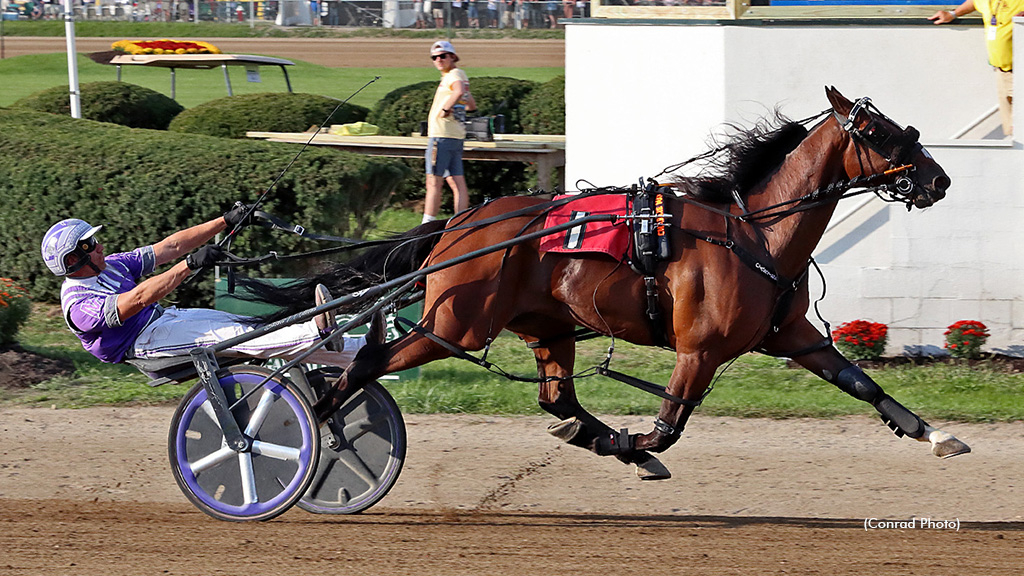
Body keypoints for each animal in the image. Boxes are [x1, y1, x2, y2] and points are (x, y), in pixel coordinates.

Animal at [239, 87, 966, 477]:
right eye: (878, 130)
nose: (939, 178)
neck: (754, 233)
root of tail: (463, 222)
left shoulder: (793, 336)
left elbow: (863, 383)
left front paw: (937, 436)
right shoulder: (699, 348)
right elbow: (669, 425)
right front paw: (637, 444)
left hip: (547, 326)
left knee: (557, 399)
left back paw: (591, 435)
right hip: (456, 322)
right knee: (368, 361)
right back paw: (311, 425)